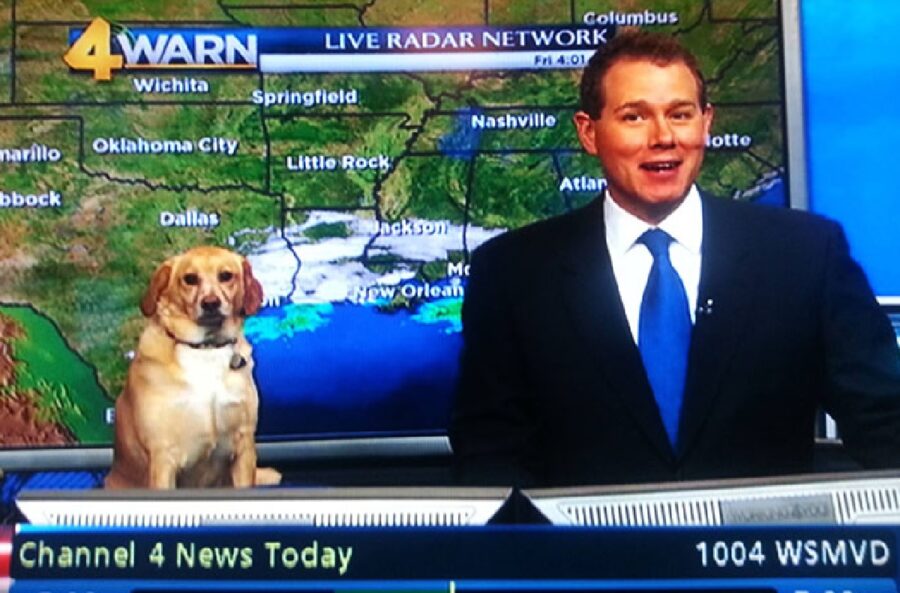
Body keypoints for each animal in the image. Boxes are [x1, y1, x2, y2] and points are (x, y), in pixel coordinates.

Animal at [106, 246, 282, 490]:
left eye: (226, 275)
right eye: (189, 279)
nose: (210, 303)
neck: (205, 349)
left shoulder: (244, 446)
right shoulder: (163, 458)